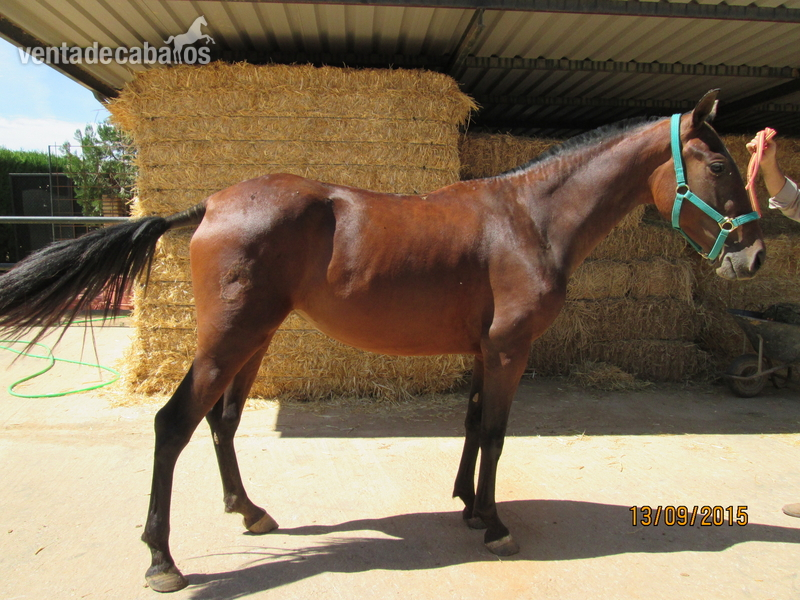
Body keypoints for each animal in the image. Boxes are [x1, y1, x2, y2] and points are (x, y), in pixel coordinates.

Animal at [0, 90, 765, 593]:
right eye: (719, 166)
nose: (754, 258)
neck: (528, 219)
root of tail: (213, 203)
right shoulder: (508, 350)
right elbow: (495, 435)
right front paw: (494, 525)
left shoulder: (483, 351)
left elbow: (472, 425)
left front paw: (468, 506)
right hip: (227, 342)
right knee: (173, 425)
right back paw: (162, 560)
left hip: (255, 340)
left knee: (223, 423)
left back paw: (249, 512)